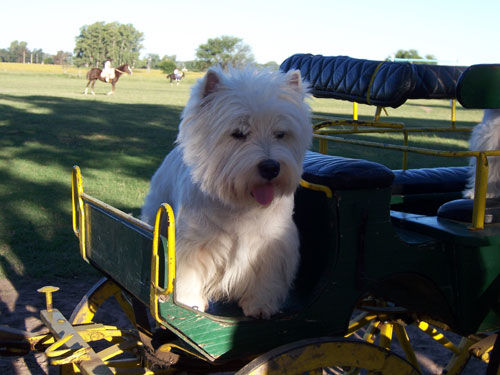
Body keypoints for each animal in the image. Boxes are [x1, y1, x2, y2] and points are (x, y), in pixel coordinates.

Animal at [141, 66, 310, 318]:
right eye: (238, 133)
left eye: (281, 134)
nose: (271, 167)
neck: (240, 204)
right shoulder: (193, 245)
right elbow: (188, 275)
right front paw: (189, 304)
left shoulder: (272, 245)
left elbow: (266, 278)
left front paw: (260, 306)